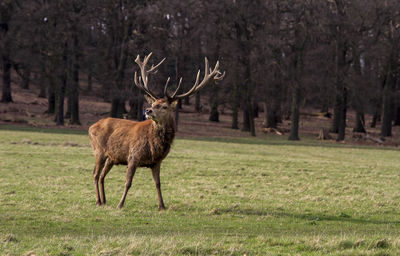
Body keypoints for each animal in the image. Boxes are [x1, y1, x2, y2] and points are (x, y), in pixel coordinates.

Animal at [88, 52, 225, 210]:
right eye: (153, 103)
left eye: (164, 106)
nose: (148, 110)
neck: (155, 145)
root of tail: (91, 127)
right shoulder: (133, 156)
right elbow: (128, 182)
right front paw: (120, 204)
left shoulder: (157, 161)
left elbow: (158, 183)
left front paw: (162, 206)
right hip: (99, 150)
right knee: (95, 174)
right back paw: (98, 201)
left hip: (112, 157)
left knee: (102, 175)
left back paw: (104, 201)